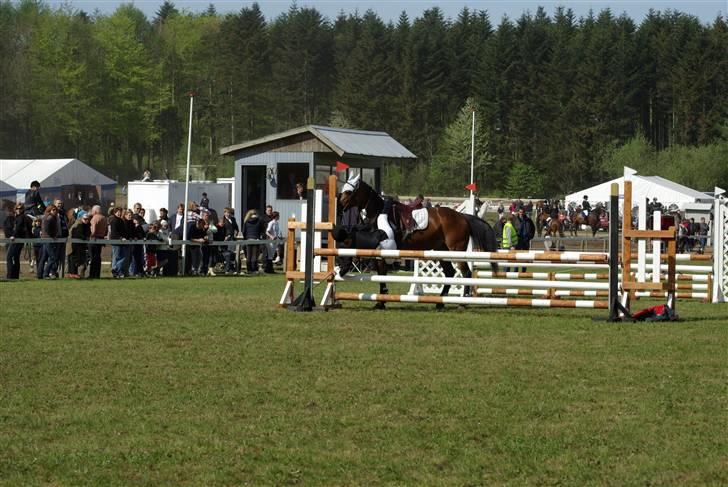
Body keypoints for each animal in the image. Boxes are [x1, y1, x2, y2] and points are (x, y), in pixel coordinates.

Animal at [336, 177, 500, 310]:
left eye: (348, 192)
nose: (338, 207)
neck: (378, 213)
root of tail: (462, 216)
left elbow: (380, 272)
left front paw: (381, 301)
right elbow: (380, 274)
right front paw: (380, 300)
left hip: (456, 251)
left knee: (465, 273)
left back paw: (462, 303)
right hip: (441, 250)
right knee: (449, 272)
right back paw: (440, 302)